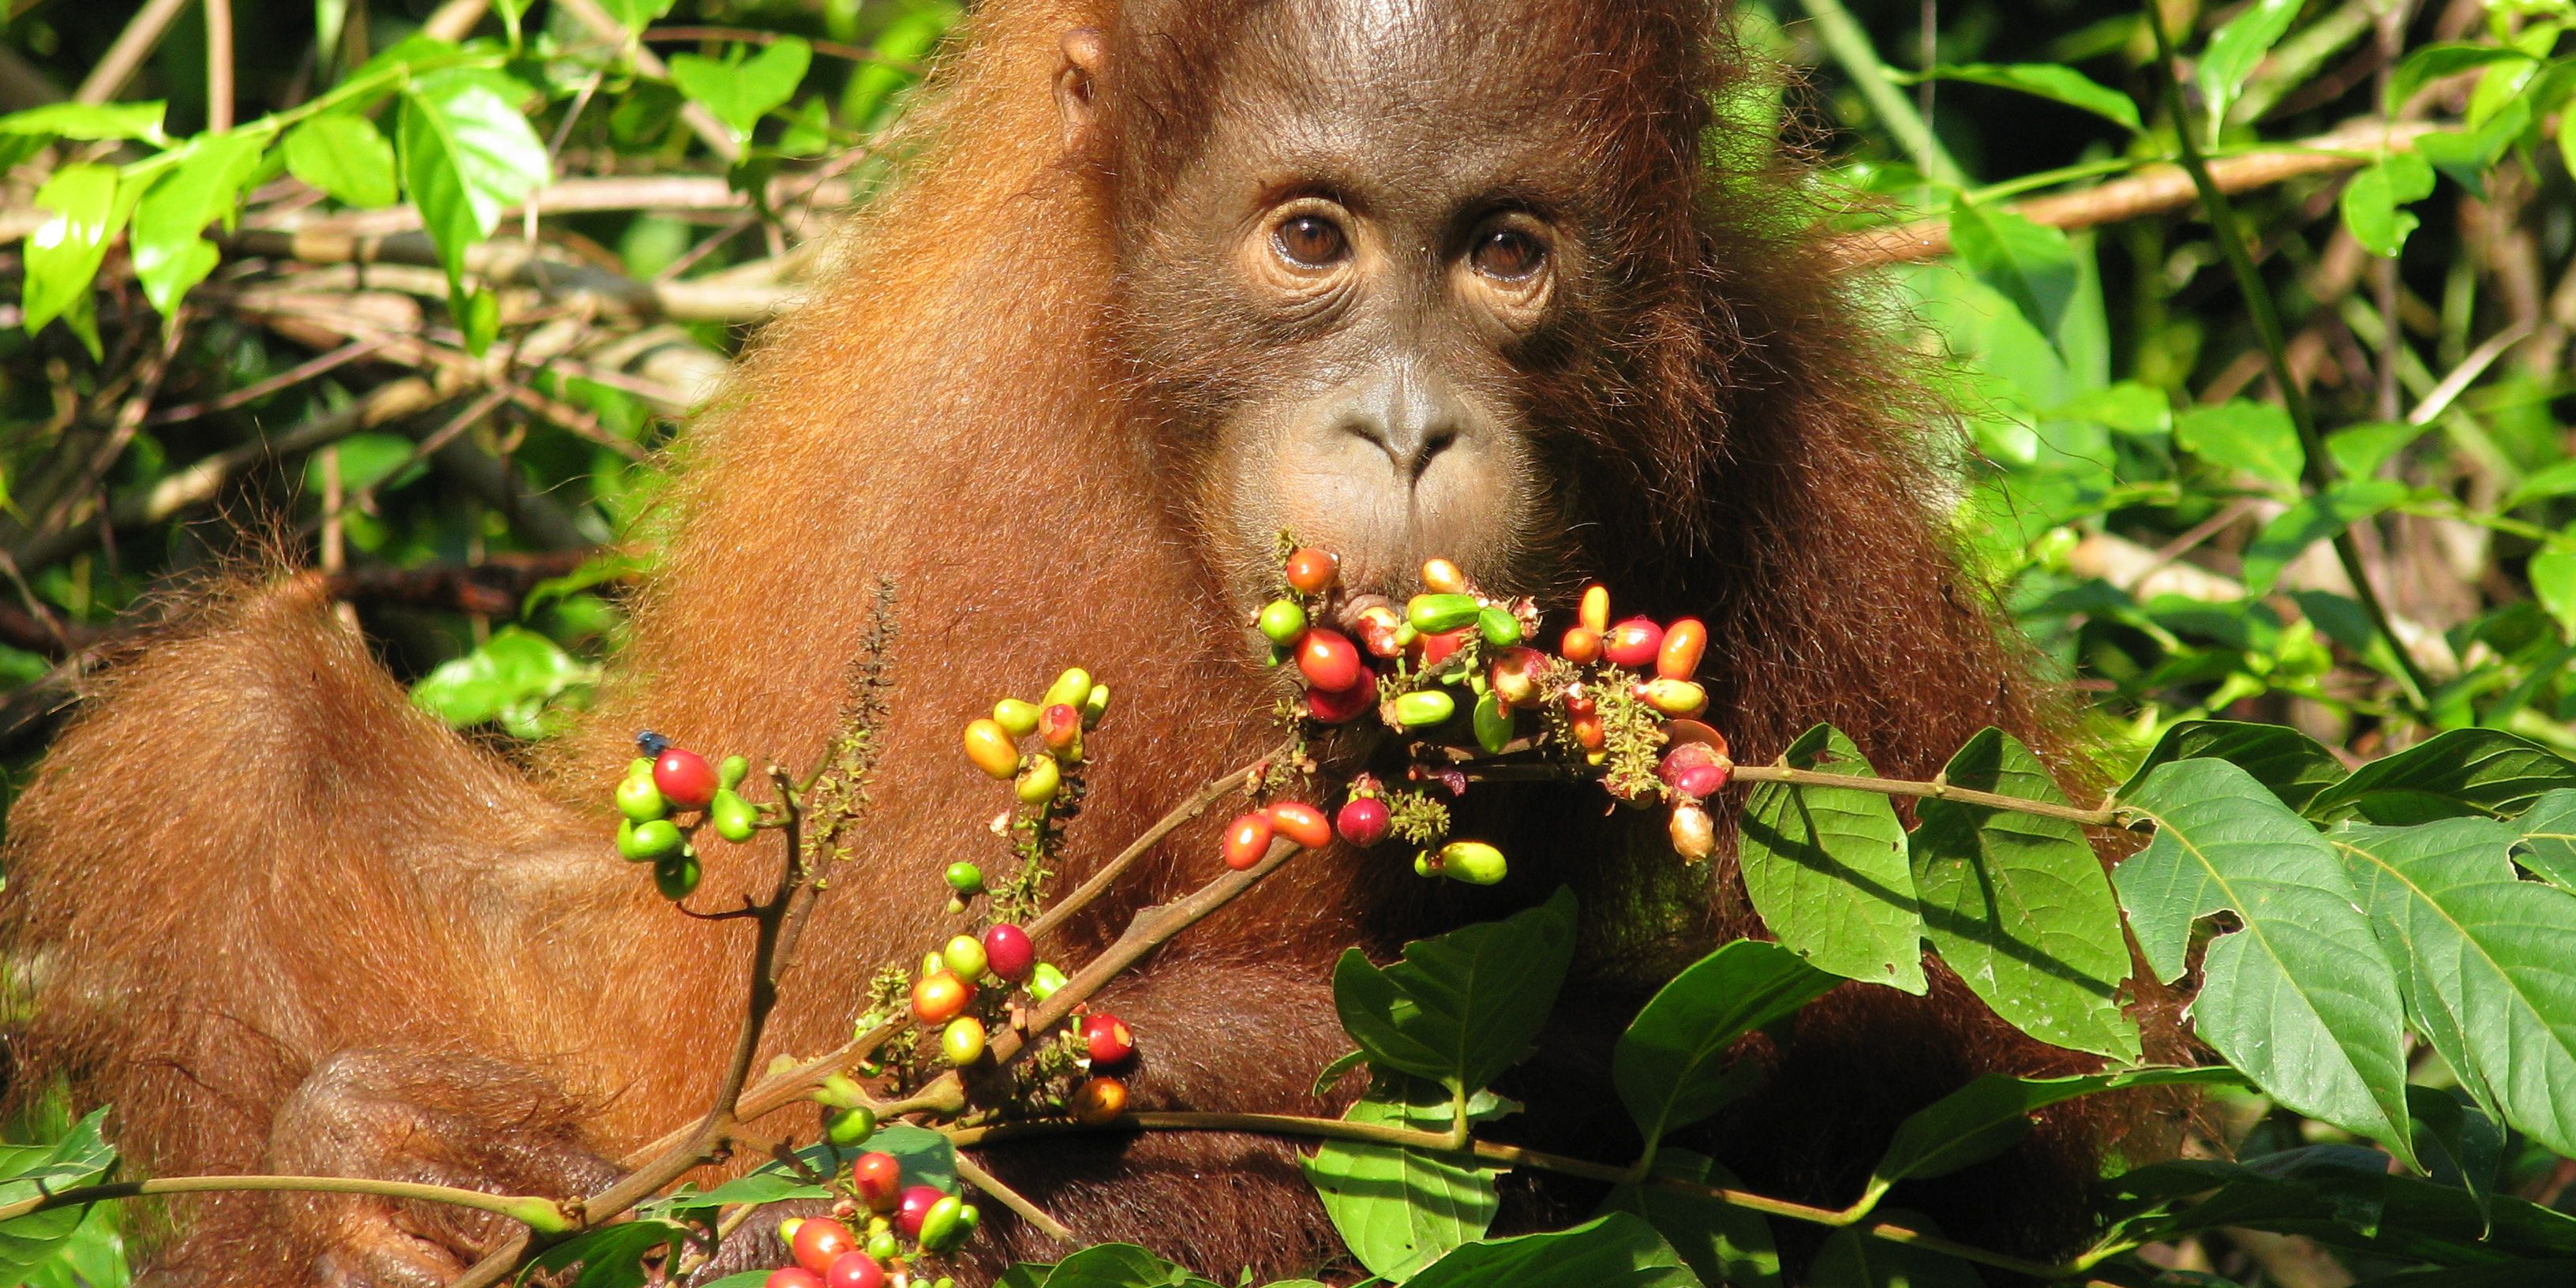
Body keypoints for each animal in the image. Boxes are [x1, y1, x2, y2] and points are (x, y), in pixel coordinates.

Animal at [1, 0, 2160, 1282]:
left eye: (1506, 254)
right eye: (1311, 239)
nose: (1403, 427)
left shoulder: (1799, 449)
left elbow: (2000, 1104)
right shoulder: (982, 525)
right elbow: (810, 1104)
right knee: (233, 718)